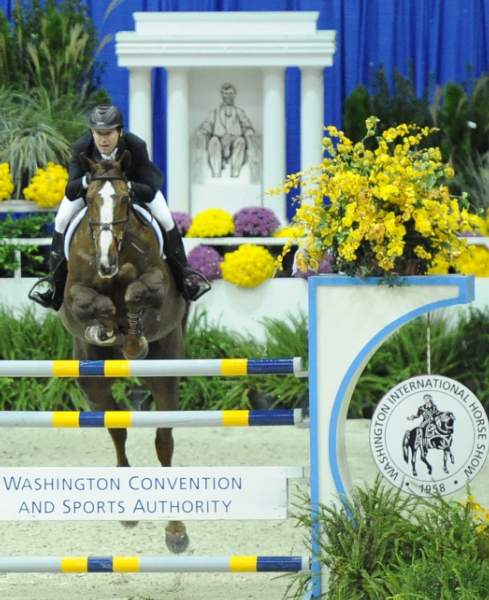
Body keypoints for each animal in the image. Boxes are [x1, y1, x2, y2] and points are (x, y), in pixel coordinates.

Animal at [60, 154, 190, 552]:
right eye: (88, 198)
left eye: (125, 198)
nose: (106, 262)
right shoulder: (74, 292)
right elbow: (95, 301)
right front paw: (105, 327)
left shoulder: (157, 283)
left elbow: (136, 289)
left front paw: (132, 336)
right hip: (93, 383)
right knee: (117, 429)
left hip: (165, 374)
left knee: (164, 441)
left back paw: (176, 530)